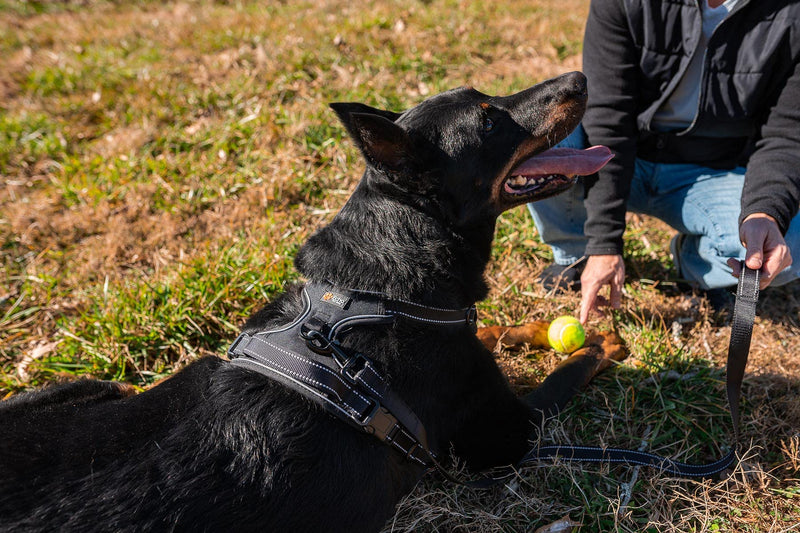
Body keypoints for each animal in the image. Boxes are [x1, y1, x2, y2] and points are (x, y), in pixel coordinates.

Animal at [0, 71, 620, 532]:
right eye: (490, 119)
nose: (580, 76)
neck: (377, 286)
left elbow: (491, 332)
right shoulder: (508, 435)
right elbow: (570, 368)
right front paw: (604, 340)